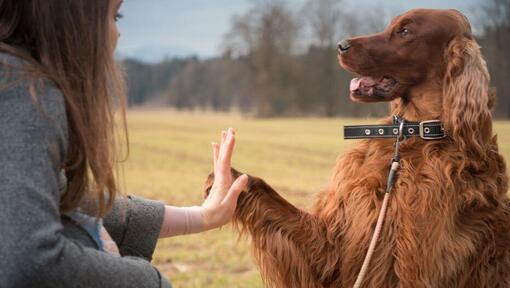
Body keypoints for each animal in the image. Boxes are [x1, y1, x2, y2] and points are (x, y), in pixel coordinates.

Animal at [205, 9, 508, 288]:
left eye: (405, 31)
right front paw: (226, 180)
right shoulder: (332, 245)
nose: (340, 45)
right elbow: (272, 199)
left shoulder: (414, 267)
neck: (408, 137)